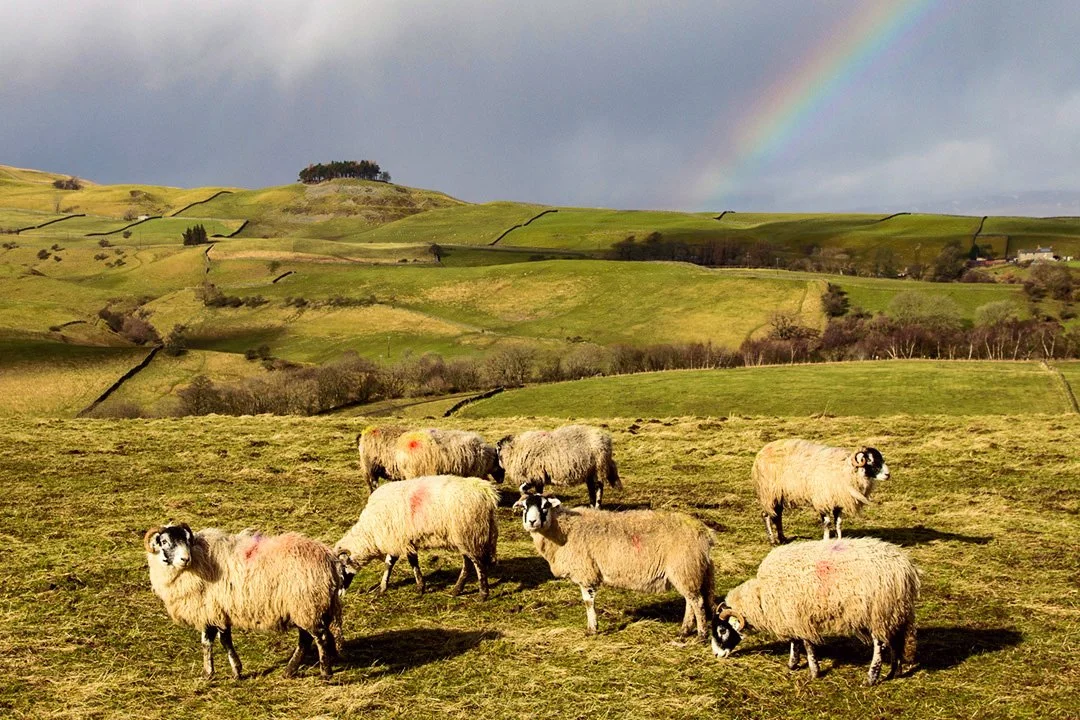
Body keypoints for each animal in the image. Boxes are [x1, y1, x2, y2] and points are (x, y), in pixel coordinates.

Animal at [144, 523, 346, 680]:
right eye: (165, 542)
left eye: (187, 540)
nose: (185, 558)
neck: (198, 562)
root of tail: (330, 560)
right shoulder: (214, 611)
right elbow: (211, 642)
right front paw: (213, 672)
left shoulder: (213, 610)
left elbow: (219, 641)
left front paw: (230, 671)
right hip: (306, 607)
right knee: (306, 639)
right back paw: (289, 671)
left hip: (307, 605)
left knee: (319, 637)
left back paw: (325, 673)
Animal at [335, 474, 499, 600]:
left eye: (340, 570)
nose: (339, 594)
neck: (370, 533)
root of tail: (486, 492)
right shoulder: (405, 540)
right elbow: (409, 561)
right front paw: (418, 586)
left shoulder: (397, 539)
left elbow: (392, 563)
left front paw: (384, 588)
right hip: (464, 536)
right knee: (468, 563)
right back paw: (456, 590)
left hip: (468, 533)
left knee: (478, 563)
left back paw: (482, 594)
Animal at [513, 493, 714, 640]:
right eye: (525, 507)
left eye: (544, 506)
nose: (532, 522)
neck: (564, 531)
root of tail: (705, 533)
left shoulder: (586, 573)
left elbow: (588, 602)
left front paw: (592, 629)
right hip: (689, 571)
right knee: (691, 601)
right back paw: (684, 631)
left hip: (684, 568)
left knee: (697, 602)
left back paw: (701, 634)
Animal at [711, 537, 920, 685]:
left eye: (722, 630)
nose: (716, 655)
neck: (761, 595)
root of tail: (906, 568)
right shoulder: (791, 615)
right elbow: (795, 641)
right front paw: (793, 664)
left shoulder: (799, 616)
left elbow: (806, 644)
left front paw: (814, 671)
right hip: (893, 611)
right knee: (895, 639)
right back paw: (895, 671)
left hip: (878, 611)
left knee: (879, 644)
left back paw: (871, 678)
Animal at [752, 438, 890, 545]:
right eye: (870, 461)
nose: (888, 475)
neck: (846, 471)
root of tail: (762, 452)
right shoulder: (822, 500)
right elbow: (827, 523)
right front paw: (826, 541)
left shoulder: (838, 502)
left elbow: (838, 523)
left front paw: (839, 540)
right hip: (768, 493)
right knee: (766, 515)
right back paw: (773, 540)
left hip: (778, 494)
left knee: (777, 515)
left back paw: (782, 538)